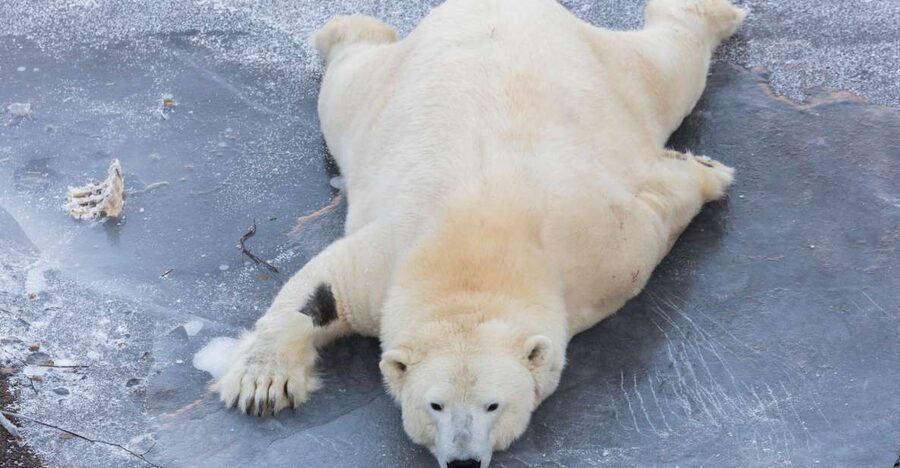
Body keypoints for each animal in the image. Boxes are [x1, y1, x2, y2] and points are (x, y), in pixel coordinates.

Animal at [212, 0, 745, 466]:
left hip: (613, 77)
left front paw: (706, 170)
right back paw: (343, 29)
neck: (474, 247)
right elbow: (323, 288)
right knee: (346, 77)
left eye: (493, 405)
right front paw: (262, 385)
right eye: (435, 405)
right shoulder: (388, 261)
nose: (464, 460)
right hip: (373, 98)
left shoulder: (611, 255)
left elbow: (657, 207)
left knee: (670, 68)